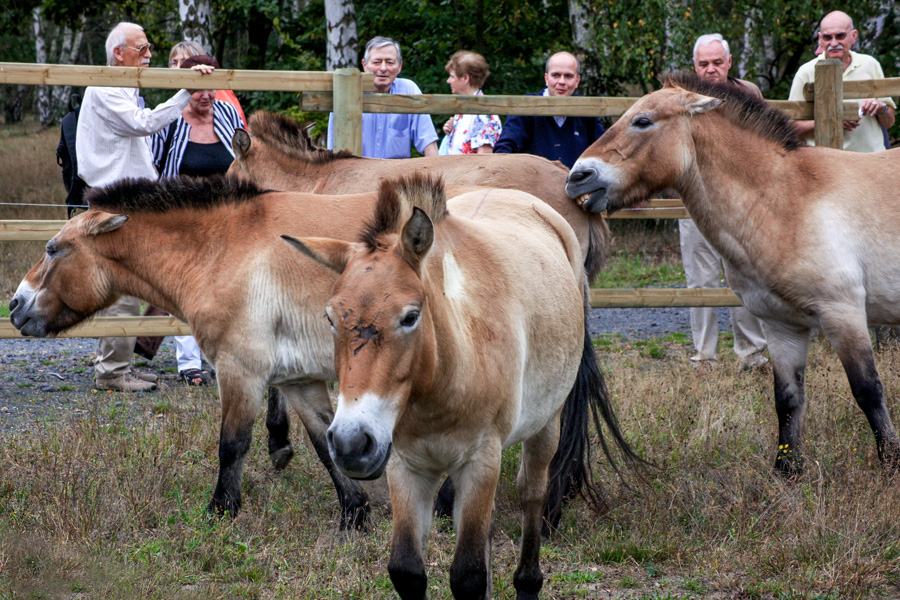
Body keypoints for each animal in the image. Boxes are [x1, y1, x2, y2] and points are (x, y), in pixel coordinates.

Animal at [284, 175, 628, 600]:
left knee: (532, 494)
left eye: (410, 316)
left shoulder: (480, 462)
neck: (440, 385)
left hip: (545, 428)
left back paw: (528, 582)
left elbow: (467, 575)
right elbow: (407, 569)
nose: (351, 443)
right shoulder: (404, 466)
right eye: (330, 318)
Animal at [568, 71, 900, 474]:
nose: (578, 176)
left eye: (643, 121)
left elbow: (868, 391)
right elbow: (787, 399)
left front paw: (891, 463)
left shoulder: (844, 314)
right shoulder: (782, 326)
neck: (786, 200)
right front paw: (786, 471)